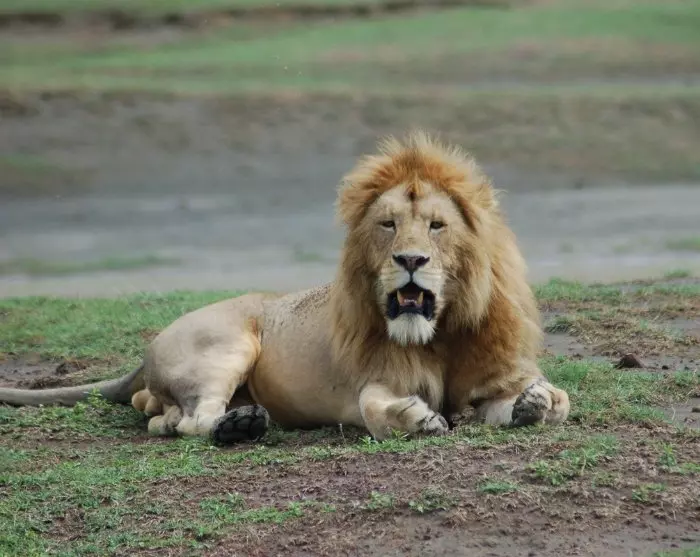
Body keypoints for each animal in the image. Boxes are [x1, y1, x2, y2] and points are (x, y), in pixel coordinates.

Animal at [0, 132, 570, 443]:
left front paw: (533, 402)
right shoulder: (371, 383)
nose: (410, 259)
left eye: (436, 226)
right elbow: (376, 409)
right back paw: (240, 427)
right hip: (225, 347)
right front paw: (414, 417)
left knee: (161, 419)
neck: (440, 332)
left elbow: (552, 402)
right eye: (388, 225)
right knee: (190, 422)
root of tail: (147, 349)